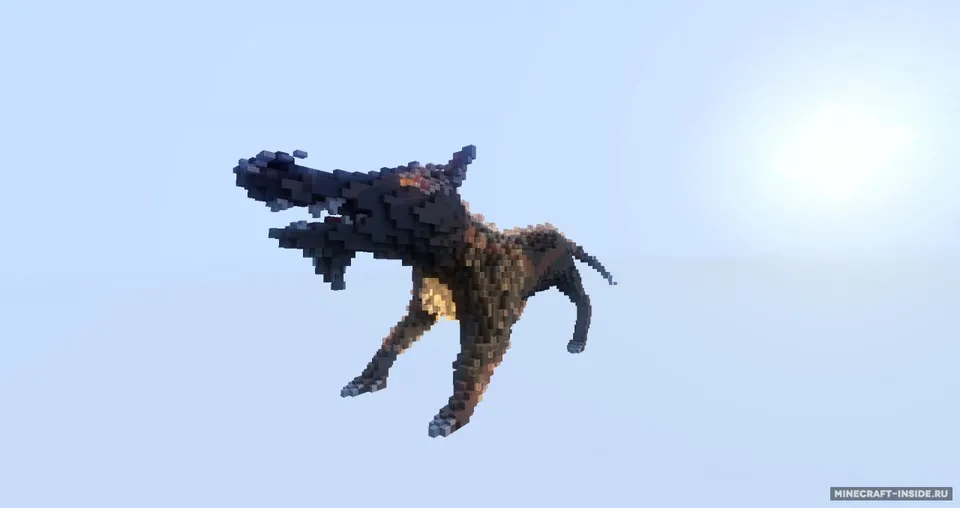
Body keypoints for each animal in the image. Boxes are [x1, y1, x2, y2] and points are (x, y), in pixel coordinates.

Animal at [232, 146, 615, 437]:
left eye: (384, 183)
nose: (261, 164)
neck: (446, 255)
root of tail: (558, 232)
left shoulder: (488, 330)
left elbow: (467, 369)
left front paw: (452, 415)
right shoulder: (421, 310)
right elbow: (390, 343)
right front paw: (367, 380)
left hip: (565, 276)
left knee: (585, 301)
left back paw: (578, 339)